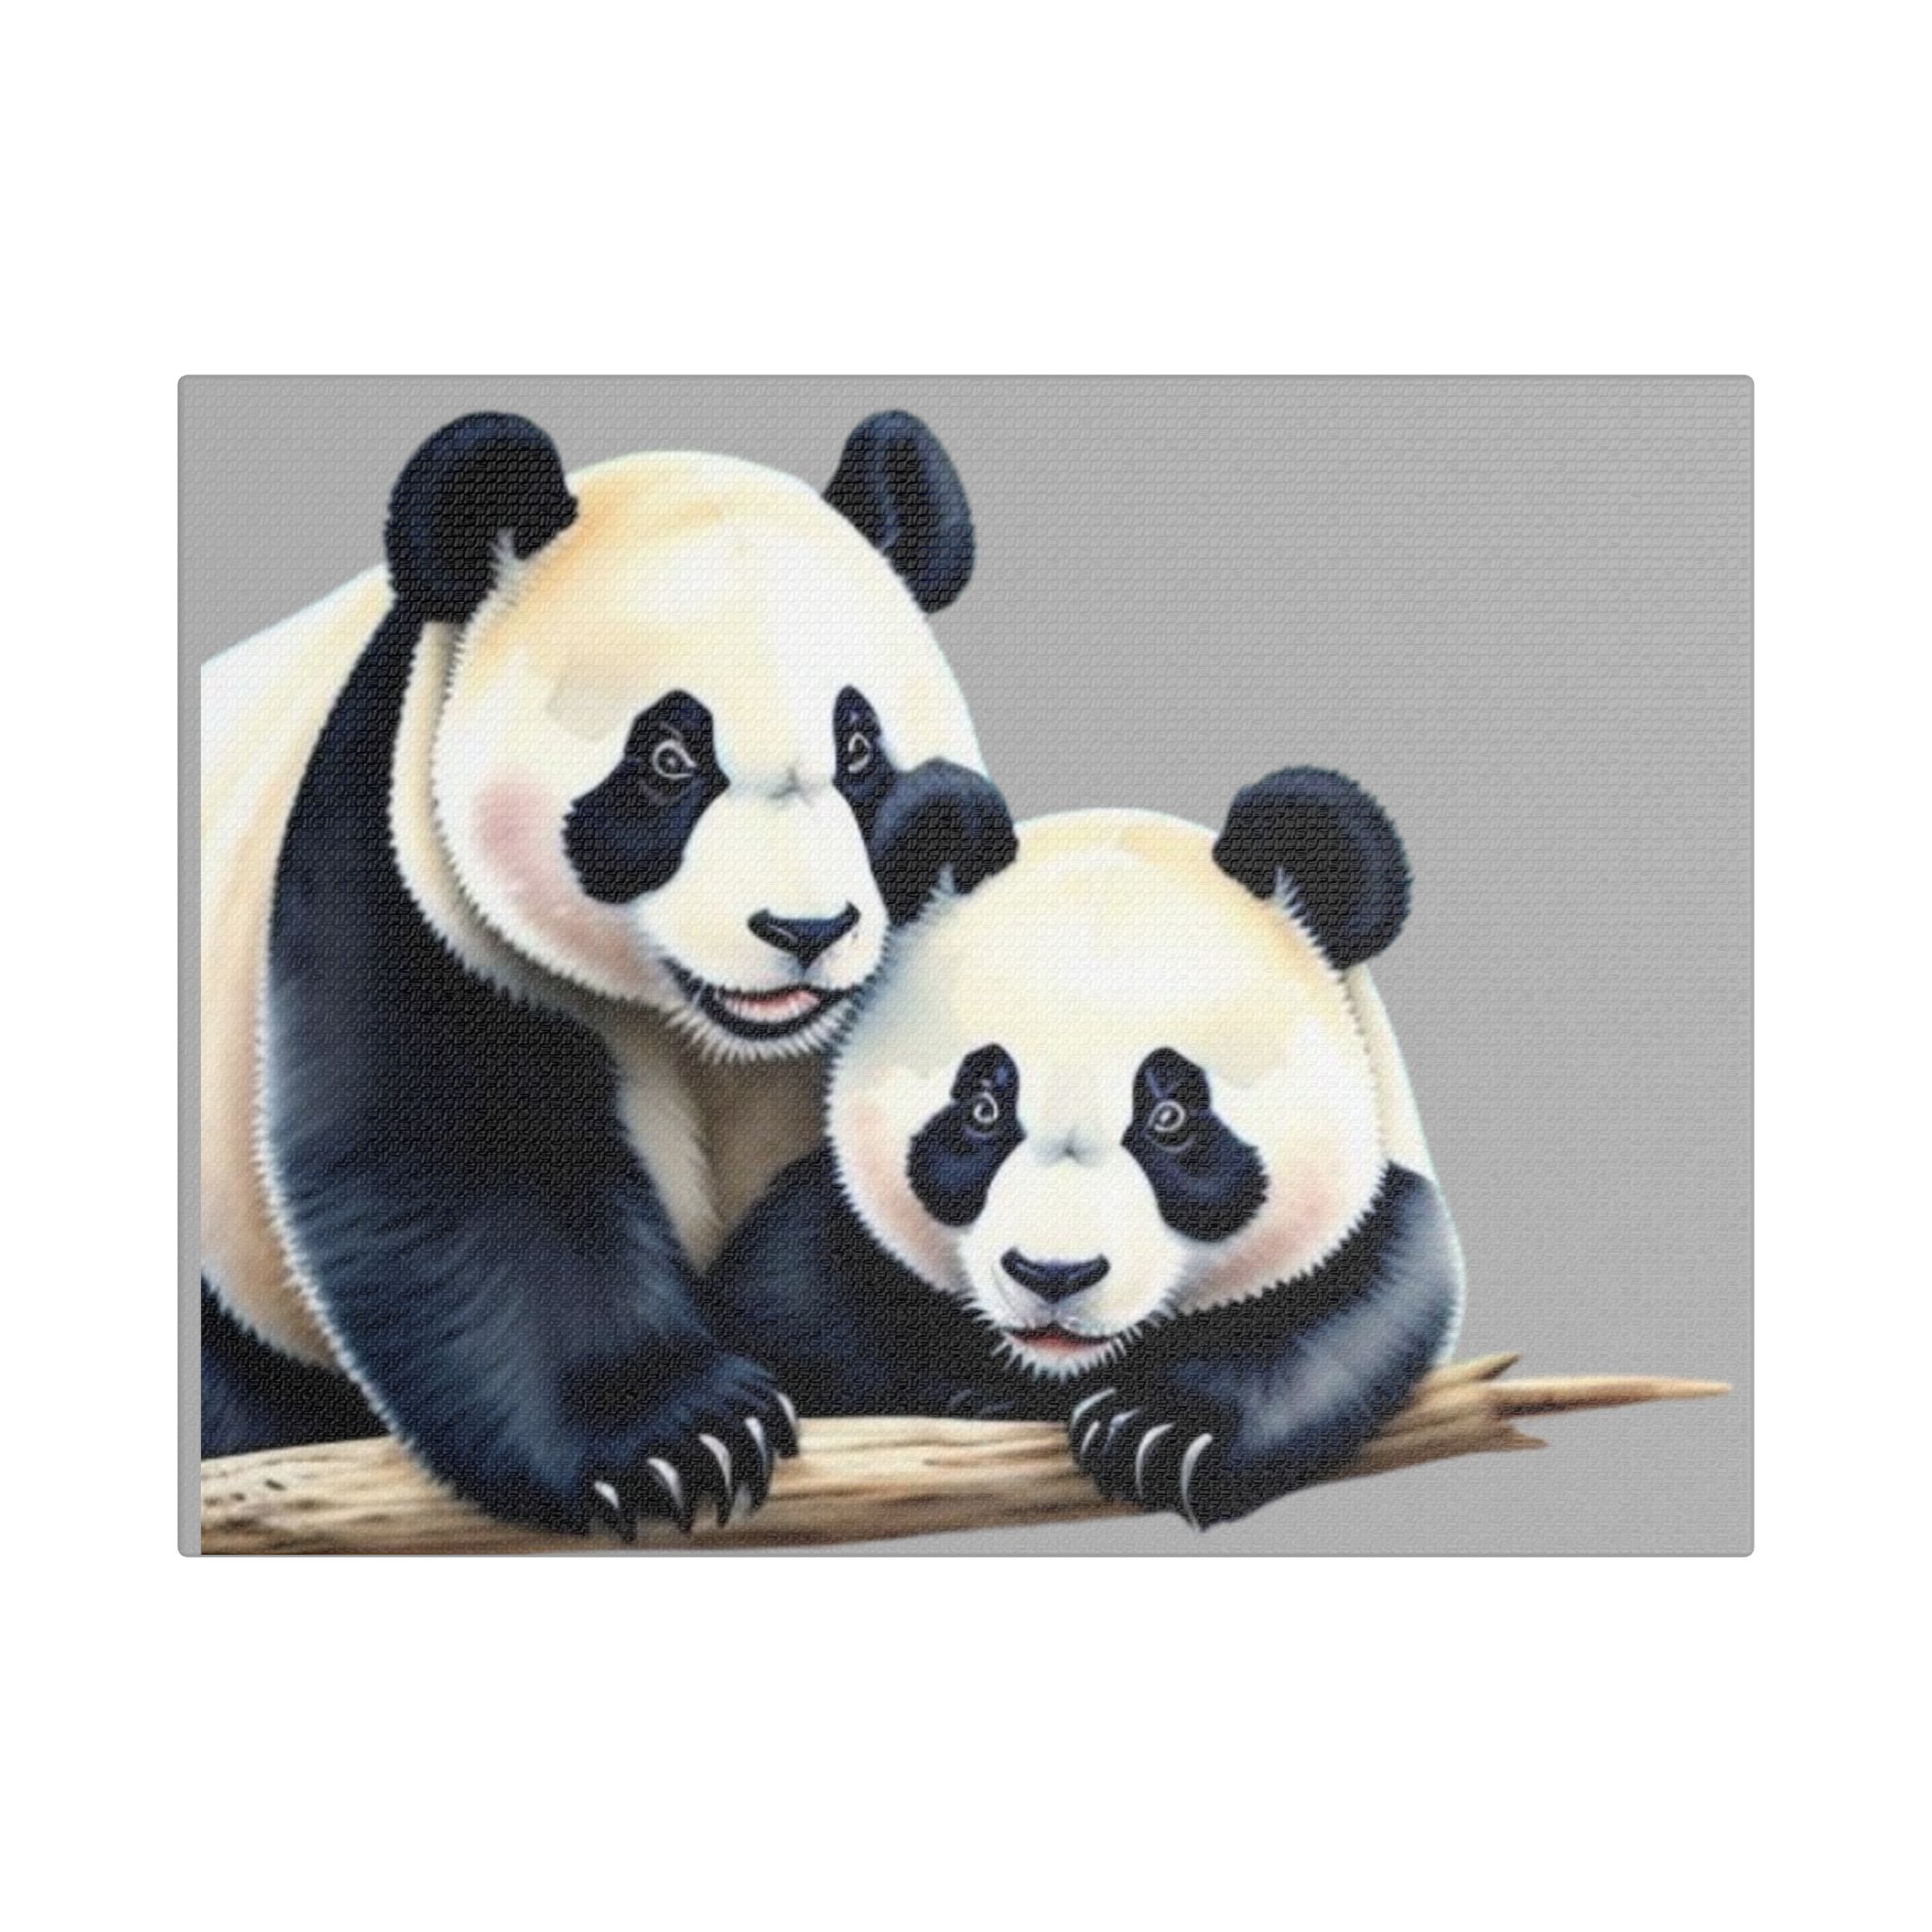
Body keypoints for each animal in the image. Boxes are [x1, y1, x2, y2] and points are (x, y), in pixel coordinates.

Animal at [200, 409, 1017, 1535]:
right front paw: (681, 1442)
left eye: (857, 750)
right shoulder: (402, 863)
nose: (805, 928)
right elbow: (466, 1166)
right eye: (669, 759)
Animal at [702, 769, 1465, 1529]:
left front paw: (1161, 1433)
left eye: (1169, 1117)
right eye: (983, 1110)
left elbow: (1360, 1313)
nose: (1053, 1275)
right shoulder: (819, 1241)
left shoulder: (1377, 1218)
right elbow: (793, 1296)